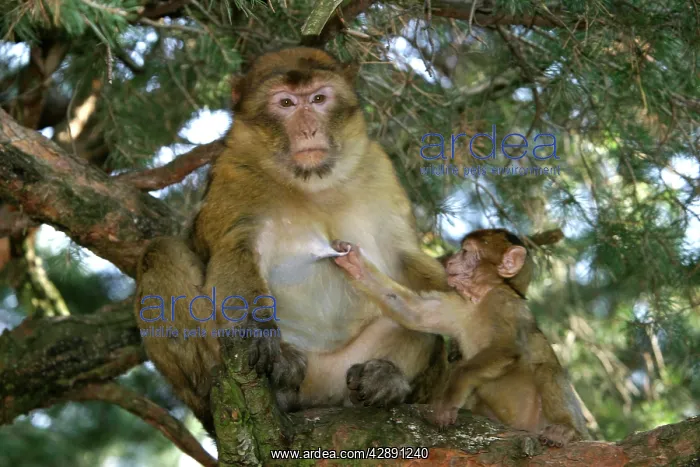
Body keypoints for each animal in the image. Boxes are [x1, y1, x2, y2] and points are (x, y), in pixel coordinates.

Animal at [134, 47, 452, 434]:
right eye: (285, 102)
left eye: (318, 99)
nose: (308, 128)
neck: (311, 184)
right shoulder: (234, 172)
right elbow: (234, 249)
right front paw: (256, 331)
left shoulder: (377, 168)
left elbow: (403, 258)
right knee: (161, 251)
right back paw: (267, 380)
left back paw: (387, 381)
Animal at [330, 229, 591, 447]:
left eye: (466, 252)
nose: (451, 260)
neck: (479, 299)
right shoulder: (458, 305)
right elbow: (414, 313)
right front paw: (353, 262)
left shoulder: (503, 304)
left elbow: (506, 349)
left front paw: (447, 401)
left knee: (547, 370)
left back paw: (565, 430)